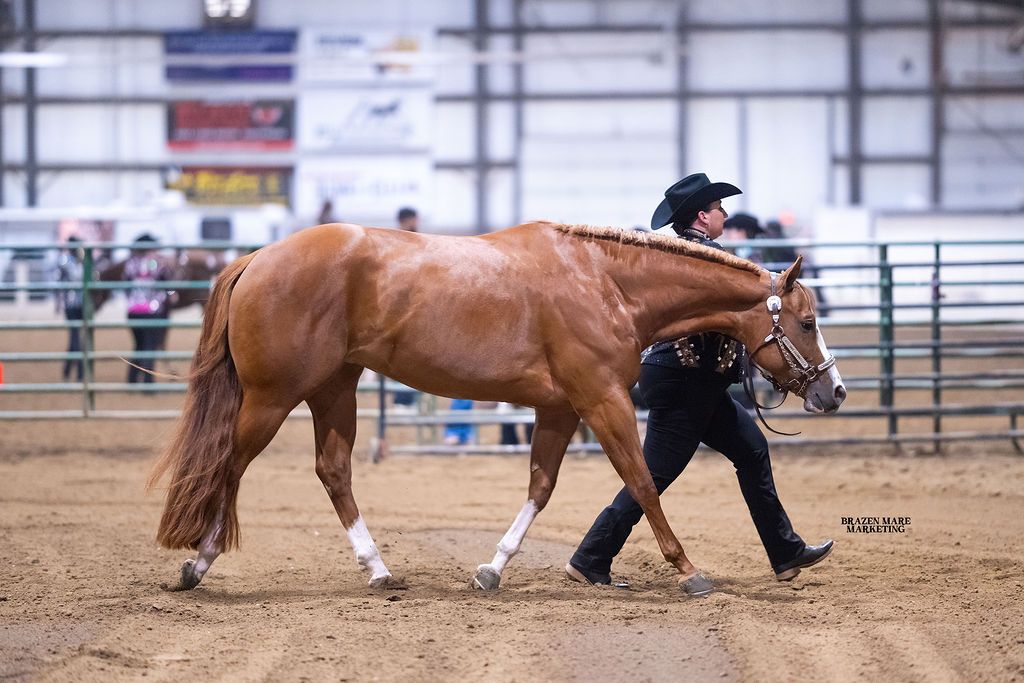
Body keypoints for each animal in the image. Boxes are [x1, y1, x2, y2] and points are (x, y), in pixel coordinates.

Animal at [148, 221, 845, 596]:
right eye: (809, 322)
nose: (833, 392)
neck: (606, 282)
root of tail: (257, 258)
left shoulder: (561, 409)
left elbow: (541, 486)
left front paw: (492, 569)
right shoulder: (602, 399)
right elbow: (643, 482)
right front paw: (690, 573)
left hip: (335, 389)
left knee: (333, 471)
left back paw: (379, 571)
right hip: (275, 397)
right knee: (229, 465)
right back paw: (196, 565)